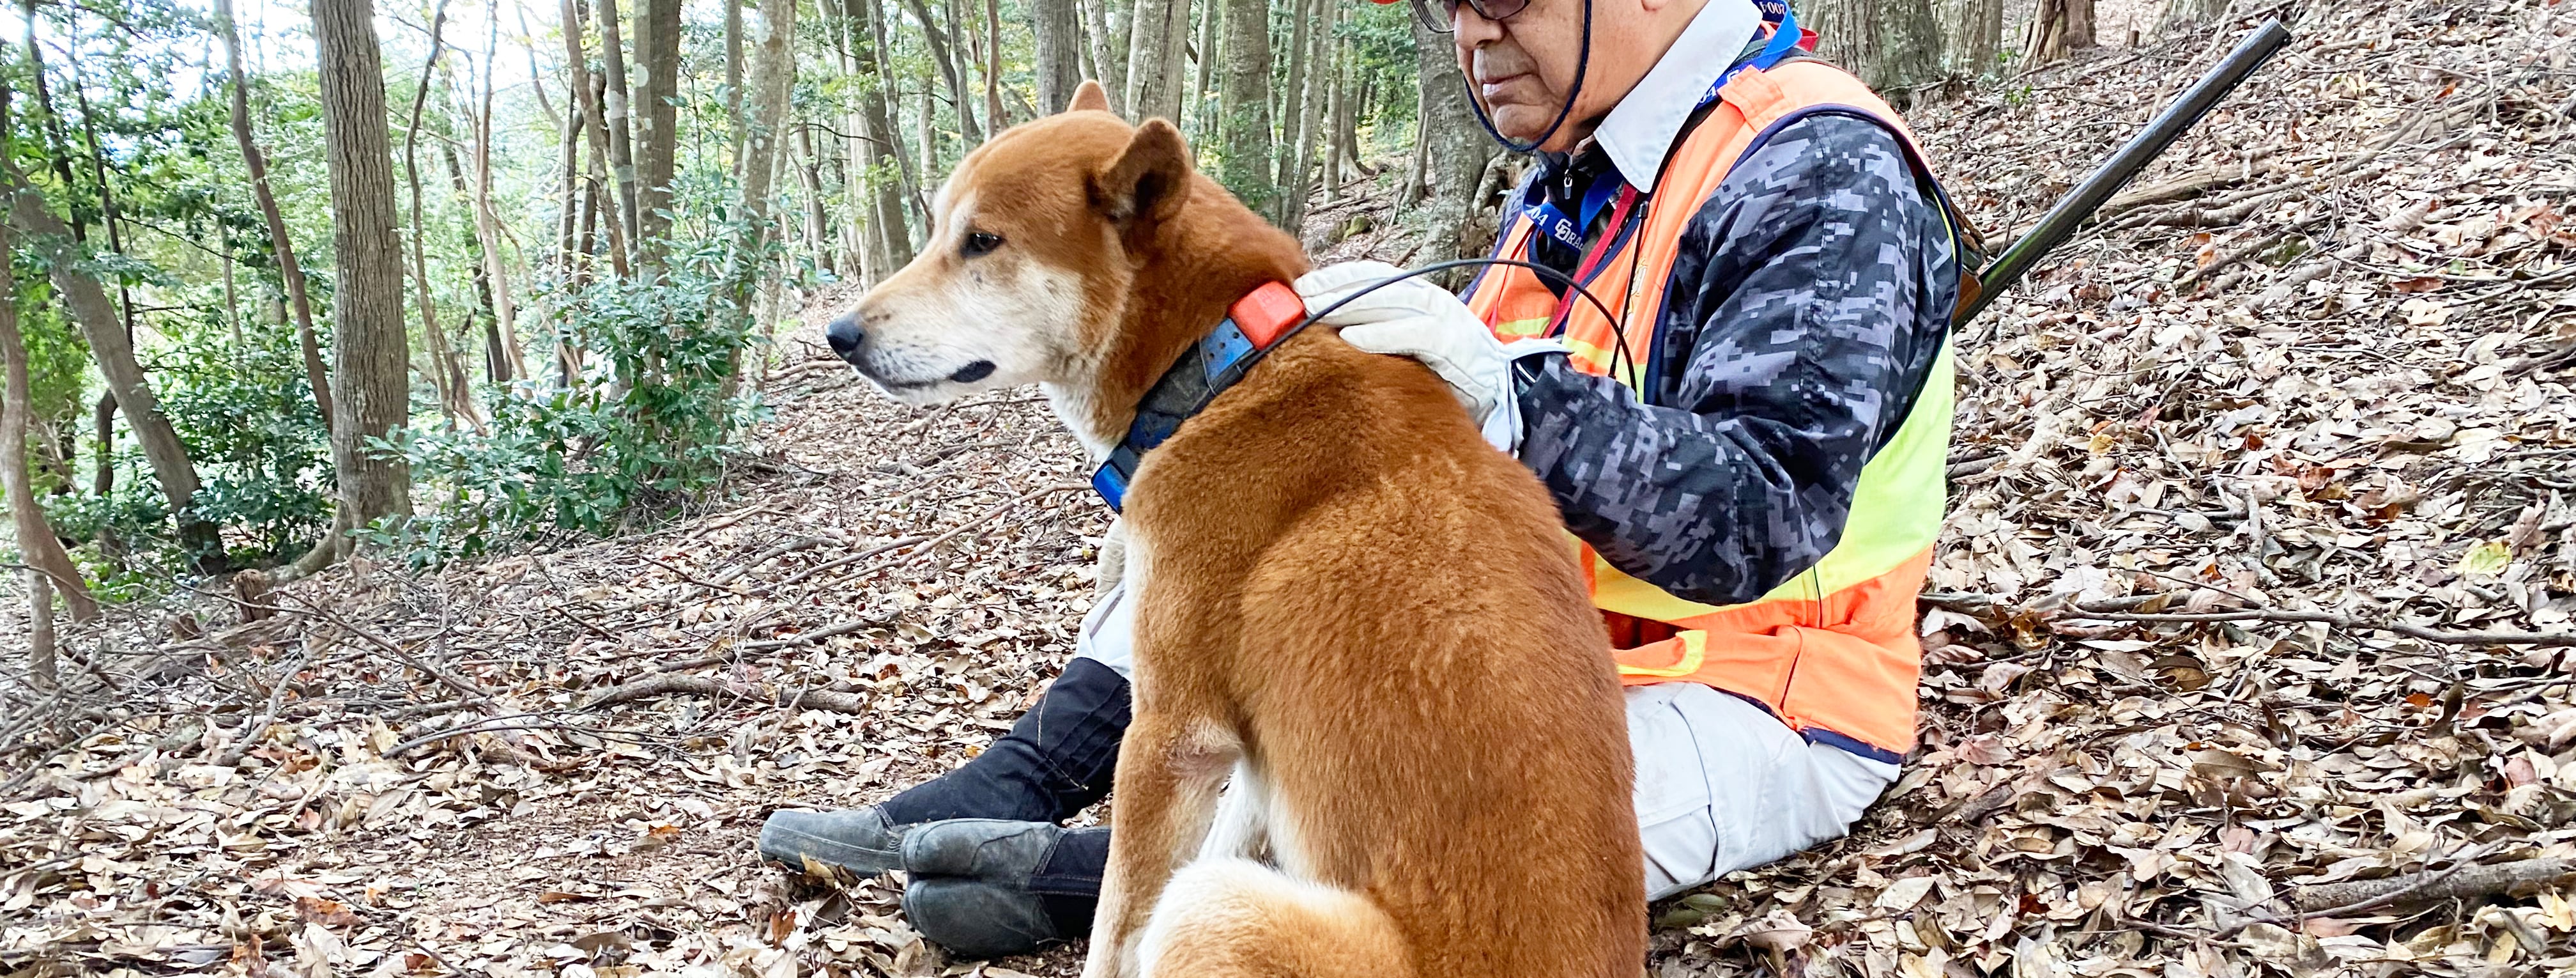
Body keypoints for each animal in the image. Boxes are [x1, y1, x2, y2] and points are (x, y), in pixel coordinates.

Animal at [845, 84, 1648, 978]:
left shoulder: (1172, 734)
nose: (841, 336)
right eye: (937, 230)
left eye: (982, 240)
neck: (1219, 369)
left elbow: (1116, 931)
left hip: (1215, 909)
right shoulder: (1253, 759)